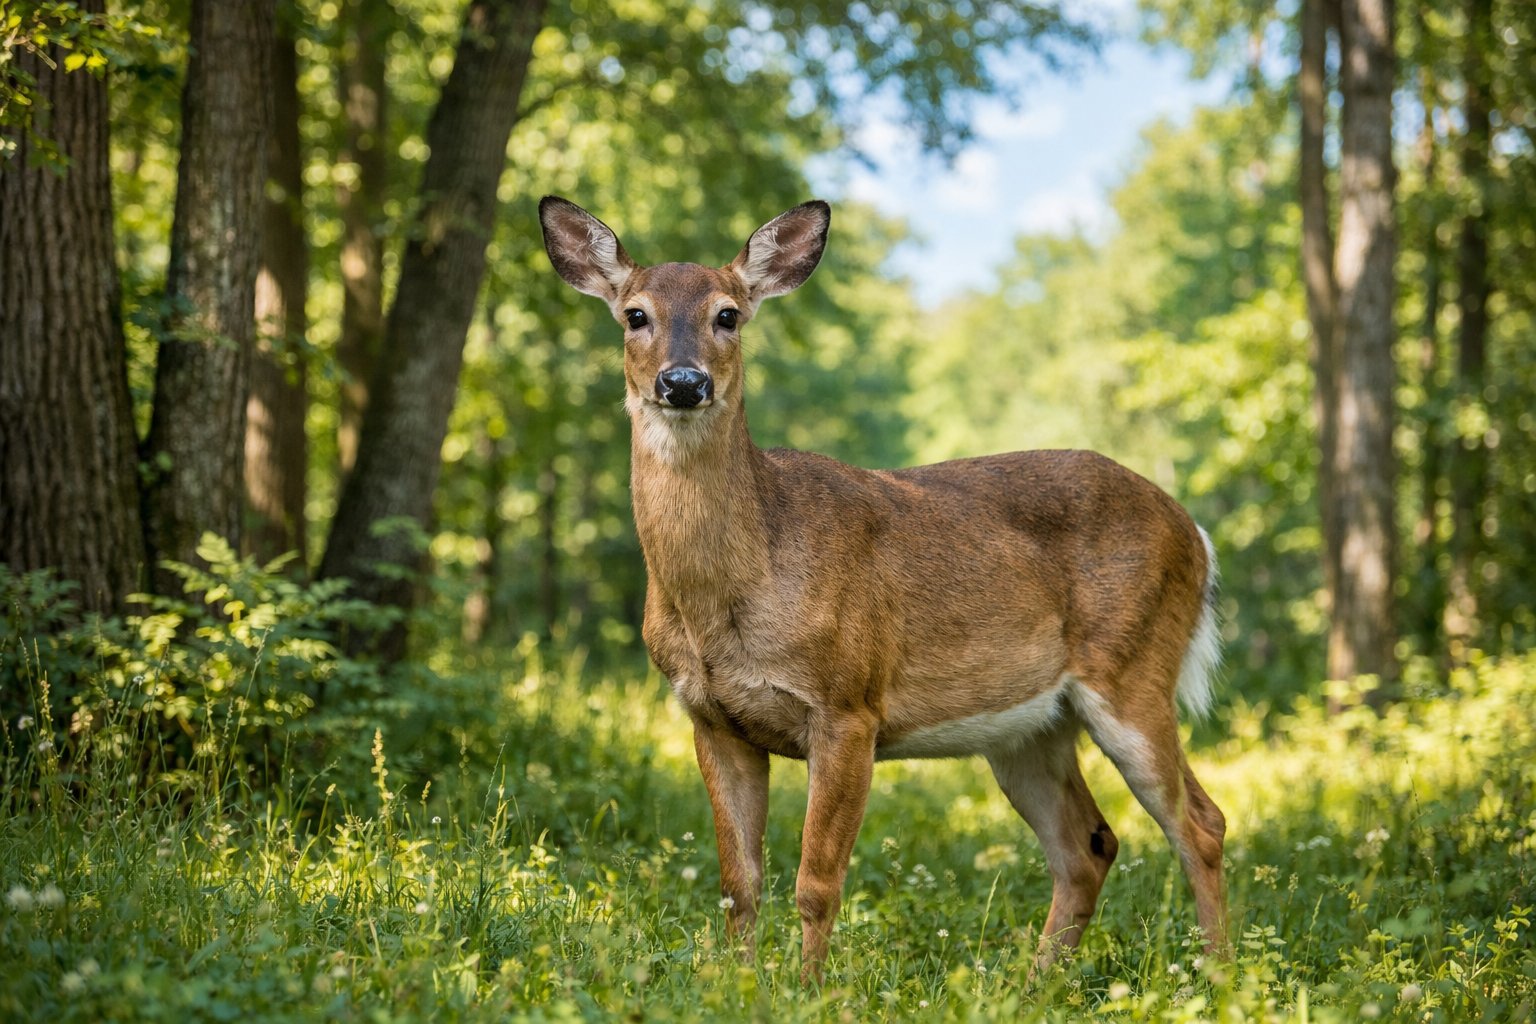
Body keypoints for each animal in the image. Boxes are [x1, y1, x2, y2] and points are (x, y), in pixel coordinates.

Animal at [538, 195, 1228, 982]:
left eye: (728, 314)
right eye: (635, 315)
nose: (684, 383)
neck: (739, 588)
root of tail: (1195, 533)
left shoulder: (849, 703)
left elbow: (816, 883)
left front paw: (806, 990)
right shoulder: (710, 716)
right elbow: (738, 884)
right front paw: (739, 986)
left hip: (1133, 670)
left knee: (1201, 824)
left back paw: (1219, 979)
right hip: (1028, 726)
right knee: (1089, 844)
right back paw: (1032, 988)